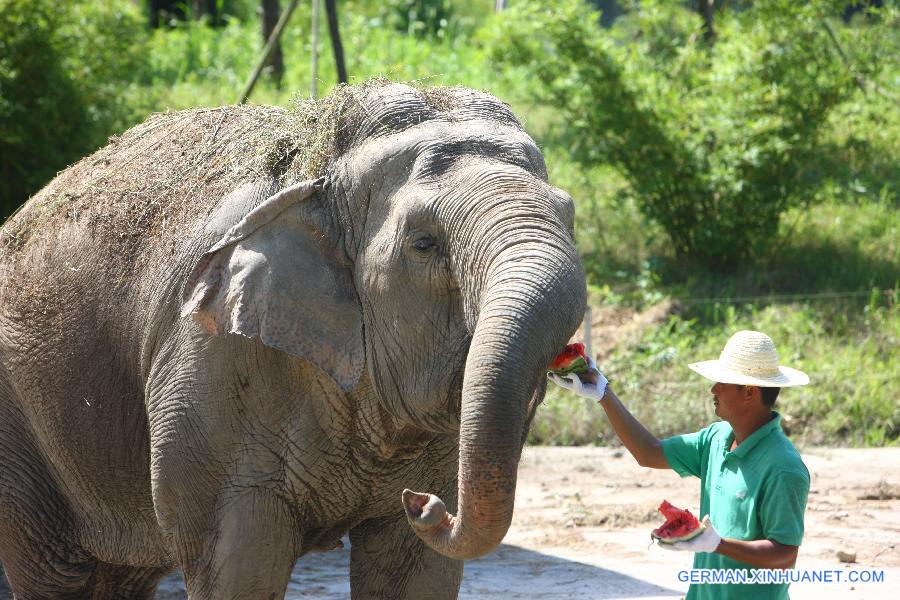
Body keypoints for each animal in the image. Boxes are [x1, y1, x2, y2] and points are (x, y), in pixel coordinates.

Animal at [0, 81, 588, 600]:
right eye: (423, 243)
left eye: (569, 214)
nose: (423, 504)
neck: (321, 172)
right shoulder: (210, 361)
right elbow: (240, 560)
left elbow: (416, 573)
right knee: (58, 575)